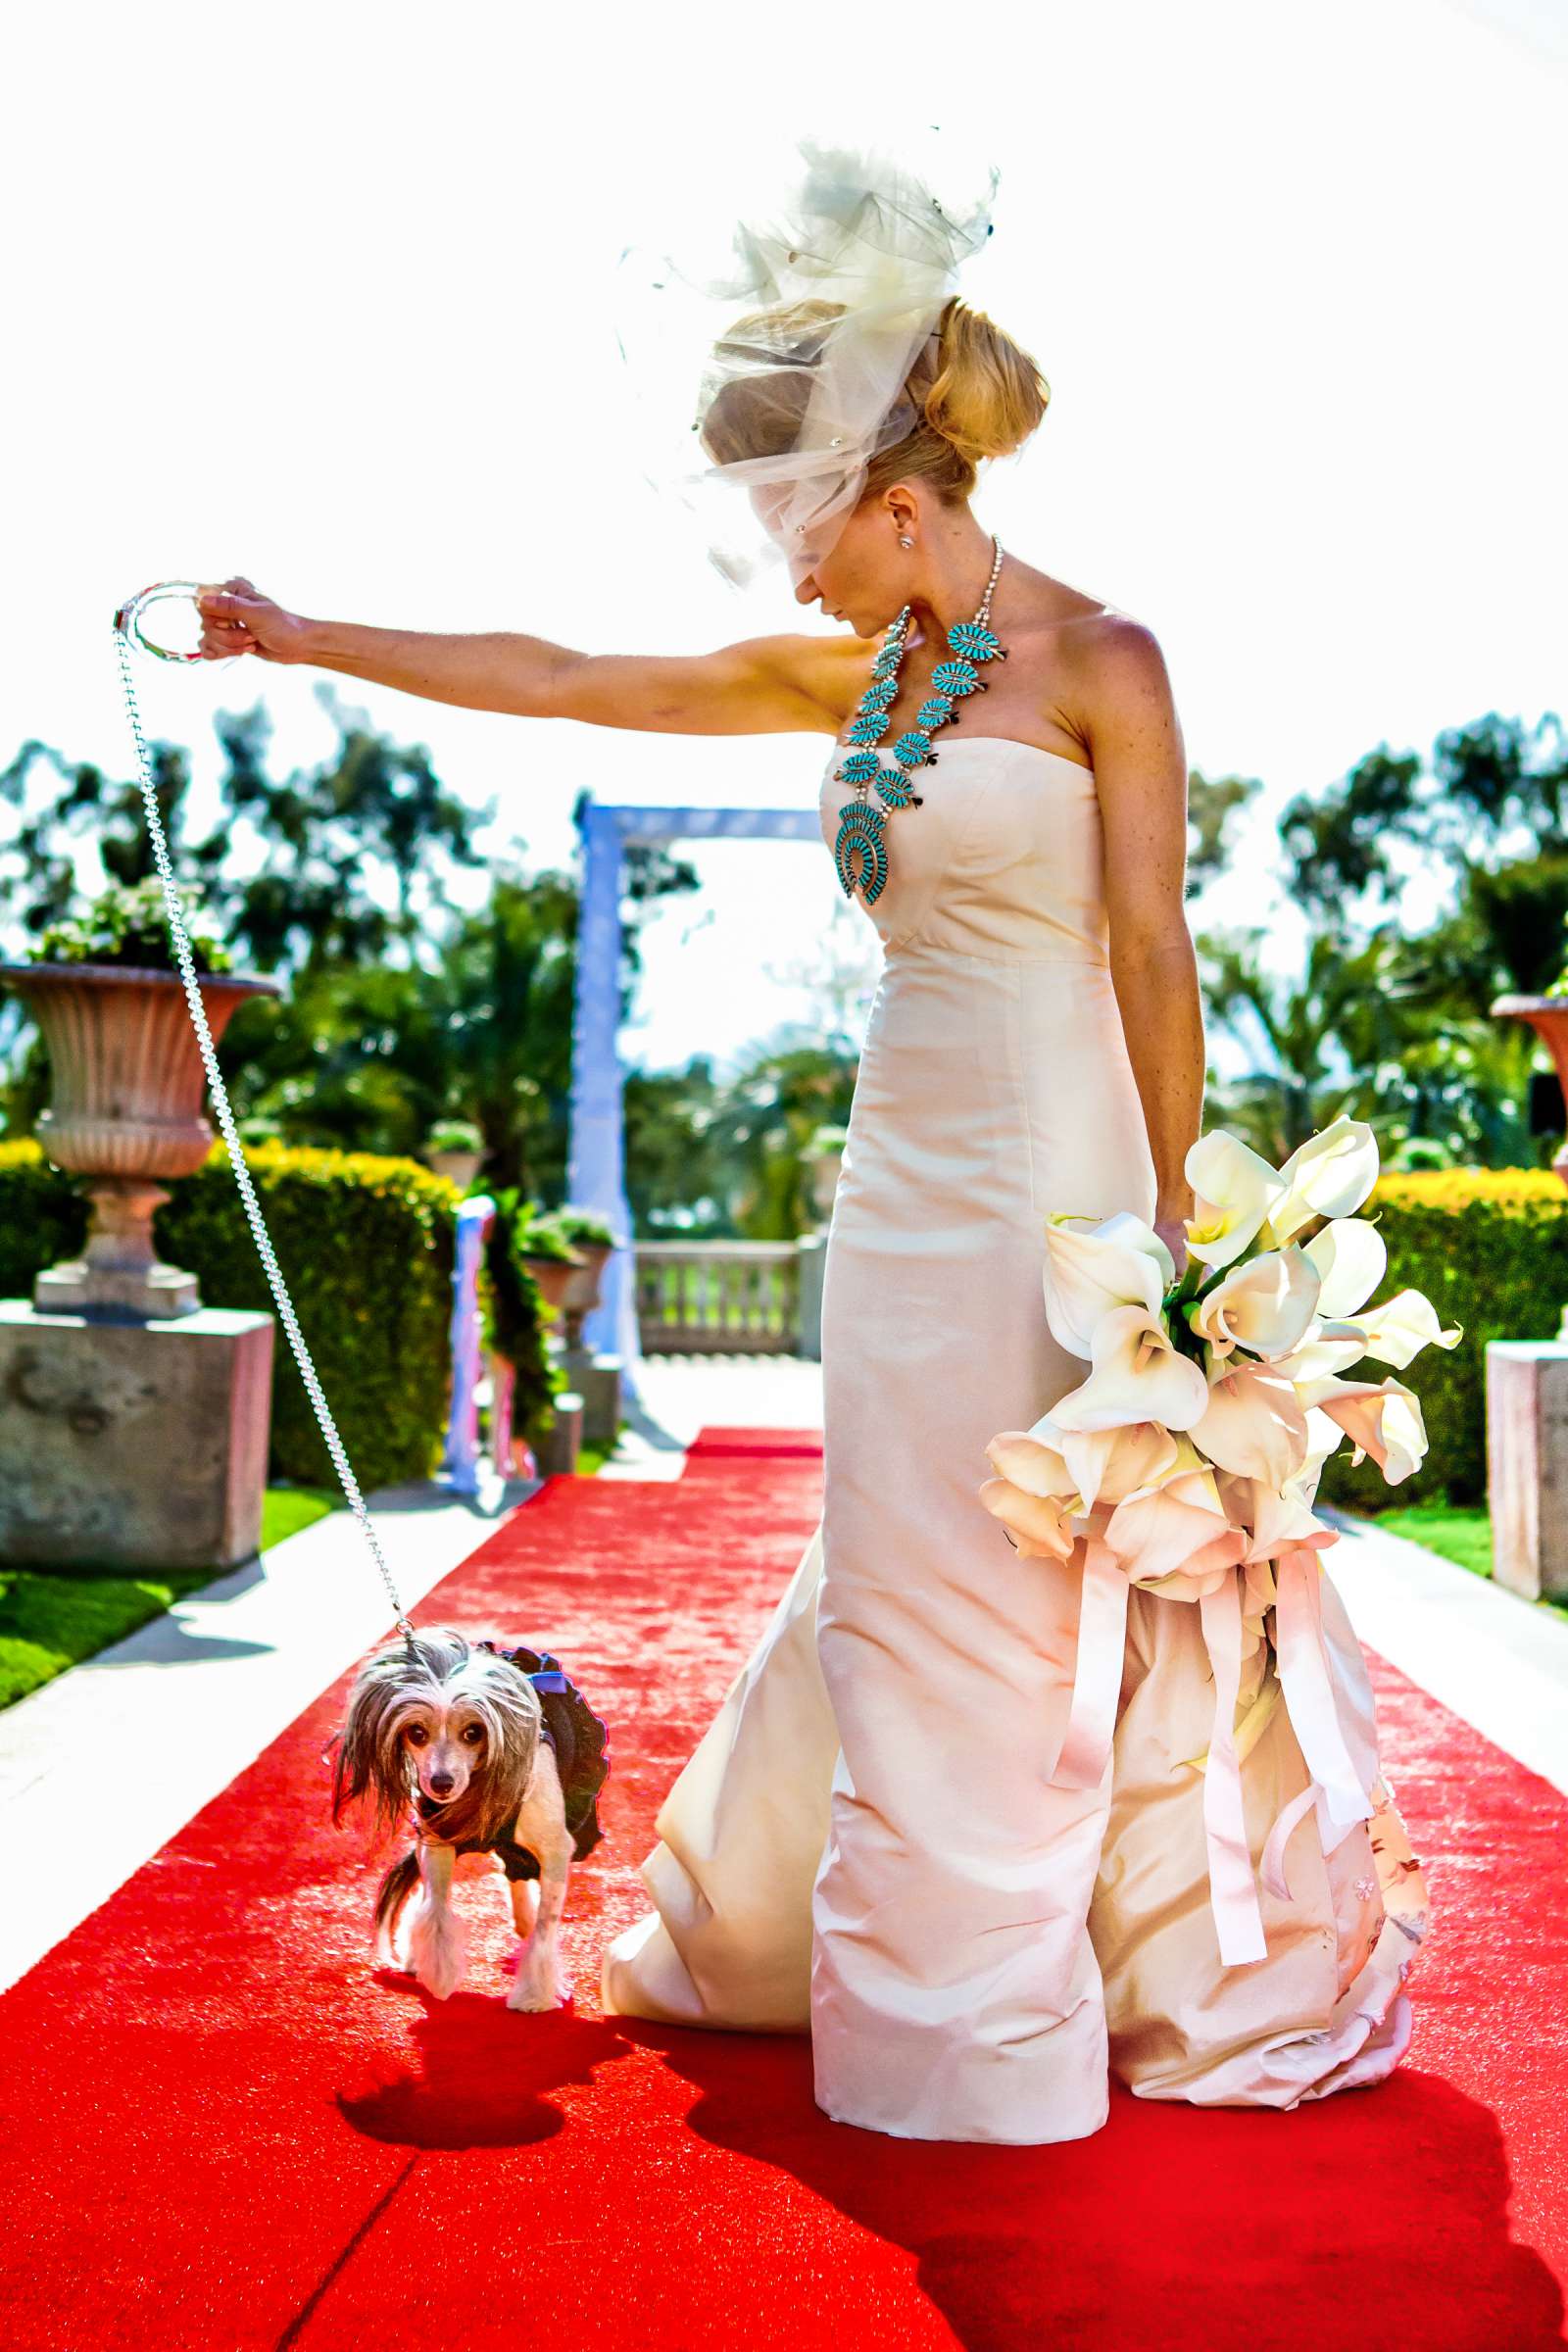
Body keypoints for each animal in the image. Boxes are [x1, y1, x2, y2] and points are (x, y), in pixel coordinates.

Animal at [328, 1637, 606, 2003]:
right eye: (416, 1733)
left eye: (474, 1733)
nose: (441, 1783)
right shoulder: (436, 1842)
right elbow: (435, 1911)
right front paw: (439, 1975)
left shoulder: (557, 1848)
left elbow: (546, 1924)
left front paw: (534, 1996)